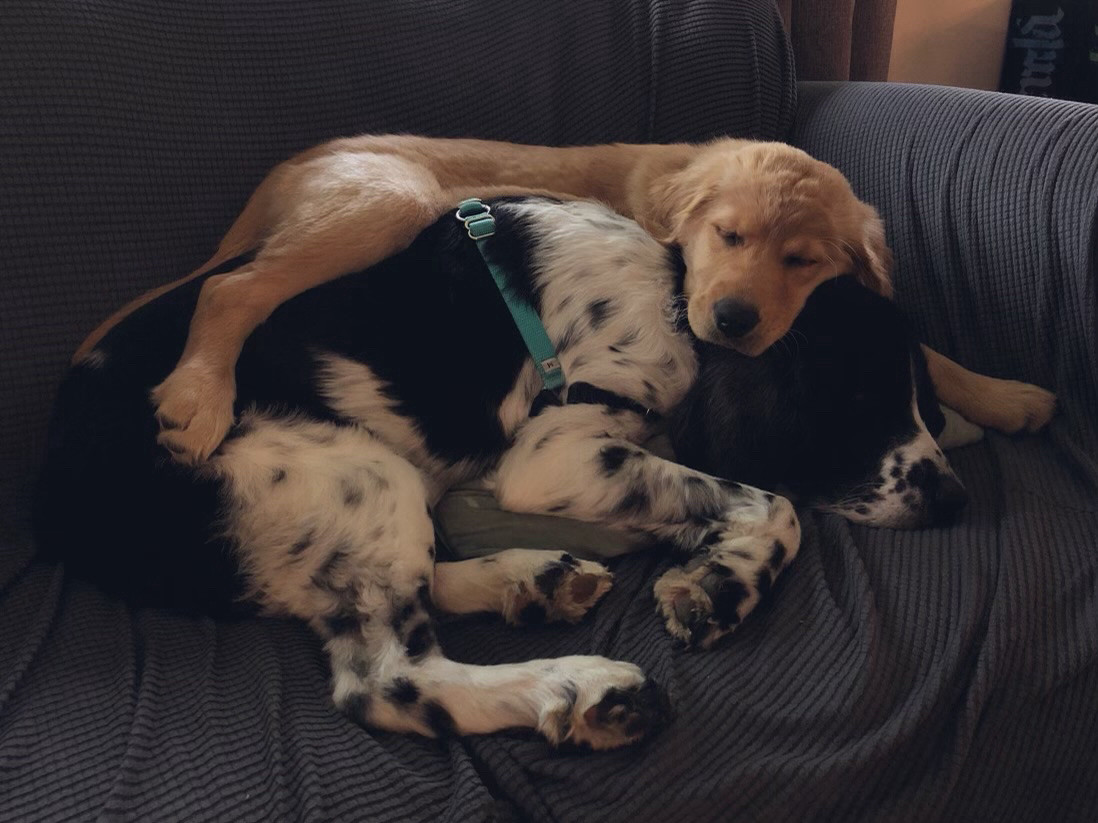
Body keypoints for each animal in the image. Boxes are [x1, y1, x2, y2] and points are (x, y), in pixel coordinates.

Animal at [32, 196, 961, 750]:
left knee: (422, 585)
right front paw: (722, 586)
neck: (674, 298)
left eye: (927, 398)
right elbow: (773, 504)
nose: (956, 496)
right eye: (865, 399)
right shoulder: (555, 456)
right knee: (391, 681)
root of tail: (60, 496)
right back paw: (585, 687)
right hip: (351, 468)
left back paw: (535, 579)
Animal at [73, 133, 1049, 465]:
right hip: (387, 202)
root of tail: (286, 170)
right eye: (728, 237)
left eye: (803, 260)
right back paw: (198, 398)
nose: (733, 320)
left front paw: (1005, 395)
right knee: (230, 290)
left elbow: (932, 350)